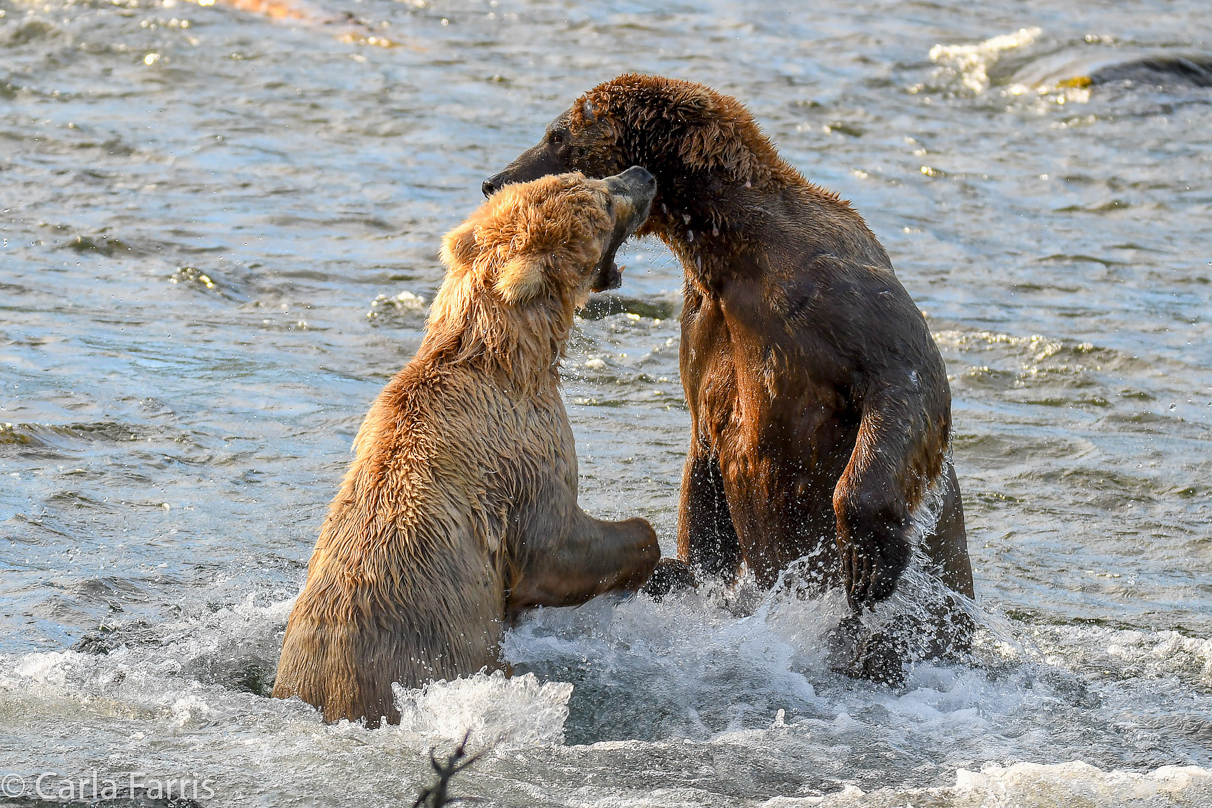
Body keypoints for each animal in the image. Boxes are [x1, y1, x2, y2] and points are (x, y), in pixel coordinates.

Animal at [272, 167, 664, 721]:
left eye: (586, 177)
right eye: (604, 202)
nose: (642, 174)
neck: (506, 357)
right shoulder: (525, 453)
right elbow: (555, 547)